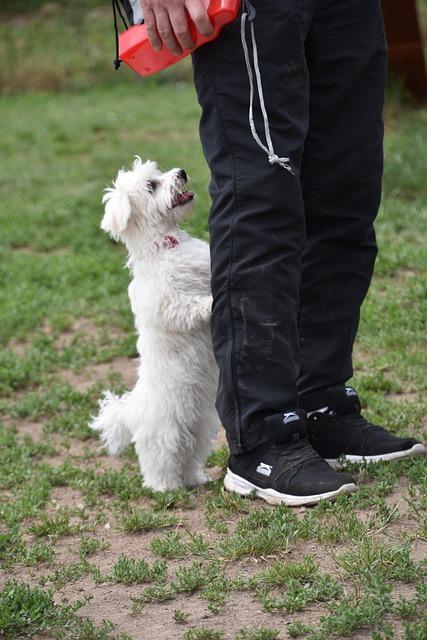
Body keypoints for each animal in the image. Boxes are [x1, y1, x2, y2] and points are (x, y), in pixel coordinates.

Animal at [93, 159, 221, 490]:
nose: (182, 173)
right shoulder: (168, 304)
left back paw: (195, 479)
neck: (166, 245)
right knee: (159, 463)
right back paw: (166, 488)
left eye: (158, 172)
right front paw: (210, 303)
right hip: (164, 433)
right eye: (152, 185)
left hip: (201, 426)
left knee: (190, 455)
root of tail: (131, 411)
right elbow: (188, 308)